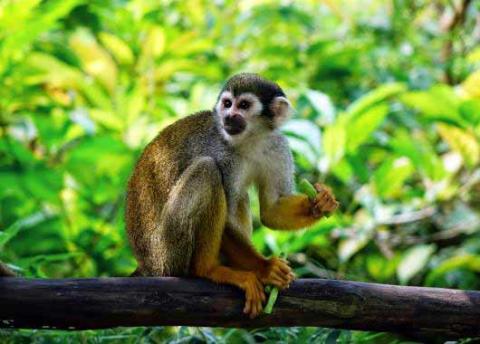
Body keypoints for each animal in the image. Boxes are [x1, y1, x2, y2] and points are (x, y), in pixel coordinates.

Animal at [125, 74, 340, 318]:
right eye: (227, 104)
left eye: (244, 105)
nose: (228, 116)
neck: (250, 139)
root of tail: (146, 264)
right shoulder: (222, 153)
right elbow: (226, 219)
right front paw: (266, 268)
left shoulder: (277, 146)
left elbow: (271, 211)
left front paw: (320, 202)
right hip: (167, 254)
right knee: (207, 170)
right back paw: (209, 269)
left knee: (240, 196)